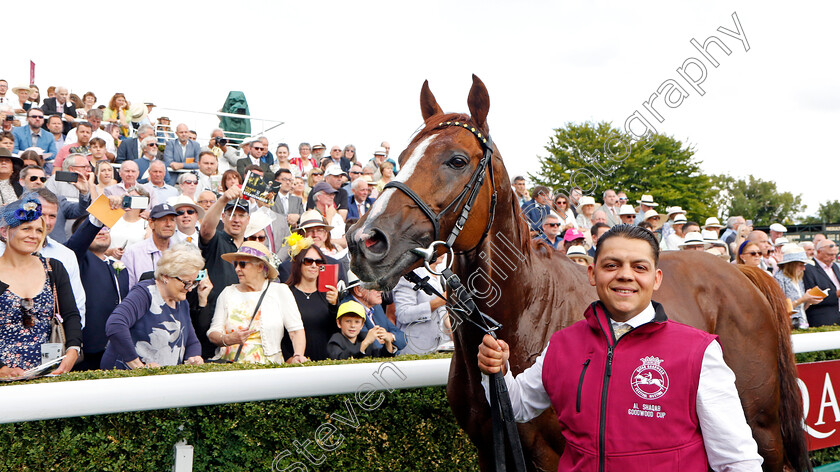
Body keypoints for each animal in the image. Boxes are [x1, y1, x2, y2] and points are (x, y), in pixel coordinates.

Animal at [346, 75, 808, 470]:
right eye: (401, 159)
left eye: (457, 160)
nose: (365, 241)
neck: (525, 309)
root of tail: (743, 274)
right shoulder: (488, 450)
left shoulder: (549, 456)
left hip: (760, 426)